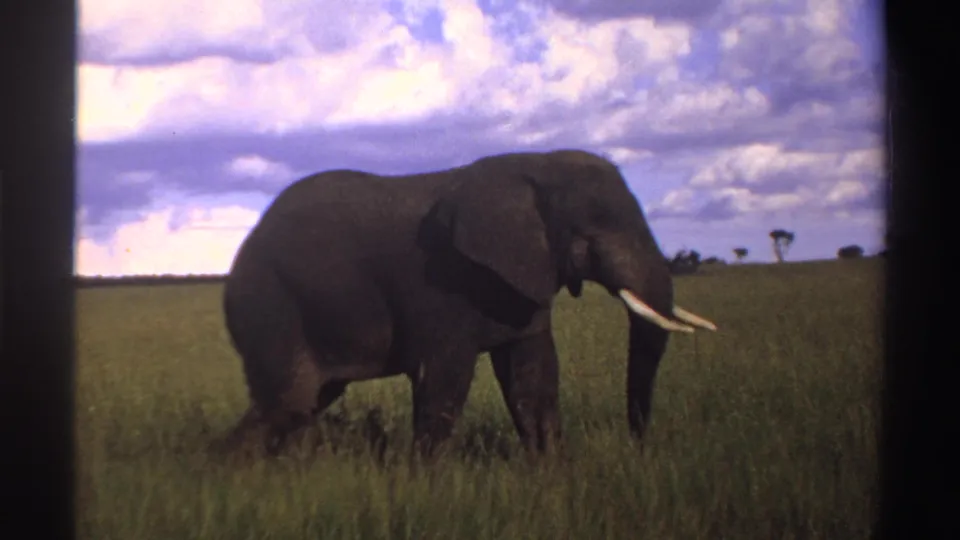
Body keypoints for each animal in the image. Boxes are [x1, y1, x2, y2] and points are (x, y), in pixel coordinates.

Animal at [213, 149, 717, 460]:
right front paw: (425, 485)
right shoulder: (441, 282)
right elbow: (445, 379)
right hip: (269, 302)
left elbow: (532, 375)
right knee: (290, 400)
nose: (638, 447)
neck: (535, 166)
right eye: (594, 230)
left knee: (302, 402)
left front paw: (553, 475)